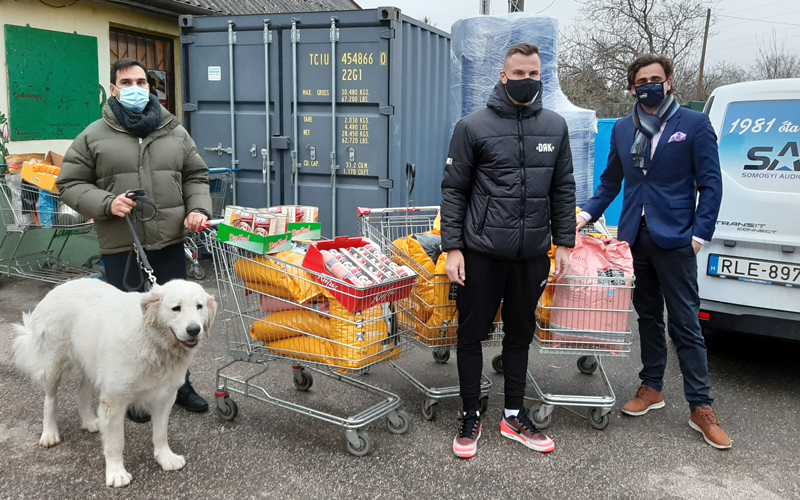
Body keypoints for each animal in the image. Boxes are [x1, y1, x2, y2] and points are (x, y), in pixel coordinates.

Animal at [13, 280, 219, 486]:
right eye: (176, 308)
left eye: (199, 306)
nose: (194, 330)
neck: (153, 339)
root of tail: (62, 285)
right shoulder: (115, 400)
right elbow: (115, 442)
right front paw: (116, 473)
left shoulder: (165, 396)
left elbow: (161, 433)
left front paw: (166, 458)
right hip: (53, 366)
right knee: (50, 400)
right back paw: (49, 434)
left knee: (81, 394)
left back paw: (89, 421)